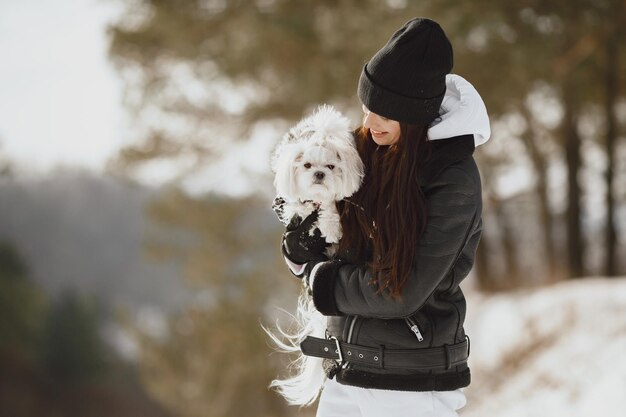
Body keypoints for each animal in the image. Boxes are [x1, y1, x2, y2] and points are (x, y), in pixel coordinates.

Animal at [264, 105, 364, 406]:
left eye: (331, 166)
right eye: (307, 165)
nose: (319, 174)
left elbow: (331, 205)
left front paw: (330, 224)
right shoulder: (289, 200)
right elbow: (297, 206)